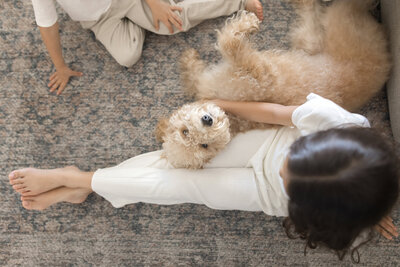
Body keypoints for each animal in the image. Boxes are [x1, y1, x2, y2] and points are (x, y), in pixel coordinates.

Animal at [157, 0, 390, 170]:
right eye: (204, 146)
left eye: (184, 131)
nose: (208, 120)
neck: (234, 119)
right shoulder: (256, 73)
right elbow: (229, 42)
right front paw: (248, 22)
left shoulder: (245, 70)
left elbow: (214, 55)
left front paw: (188, 57)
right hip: (329, 29)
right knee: (328, 12)